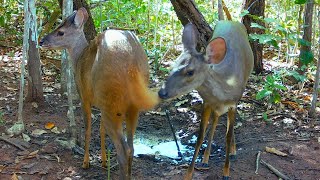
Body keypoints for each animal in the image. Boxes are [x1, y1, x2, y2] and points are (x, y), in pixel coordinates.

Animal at [39, 7, 159, 180]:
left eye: (60, 32)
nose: (41, 41)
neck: (78, 59)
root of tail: (132, 65)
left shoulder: (84, 96)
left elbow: (88, 129)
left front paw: (86, 162)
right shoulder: (101, 104)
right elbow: (101, 130)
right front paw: (103, 161)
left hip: (112, 100)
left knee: (123, 149)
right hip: (131, 104)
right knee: (131, 147)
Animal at [158, 21, 255, 180]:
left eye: (190, 72)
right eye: (172, 65)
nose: (162, 92)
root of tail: (231, 21)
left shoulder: (233, 104)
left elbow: (228, 136)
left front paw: (226, 172)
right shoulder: (207, 102)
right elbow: (200, 136)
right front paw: (189, 173)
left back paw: (232, 152)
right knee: (215, 120)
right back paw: (205, 159)